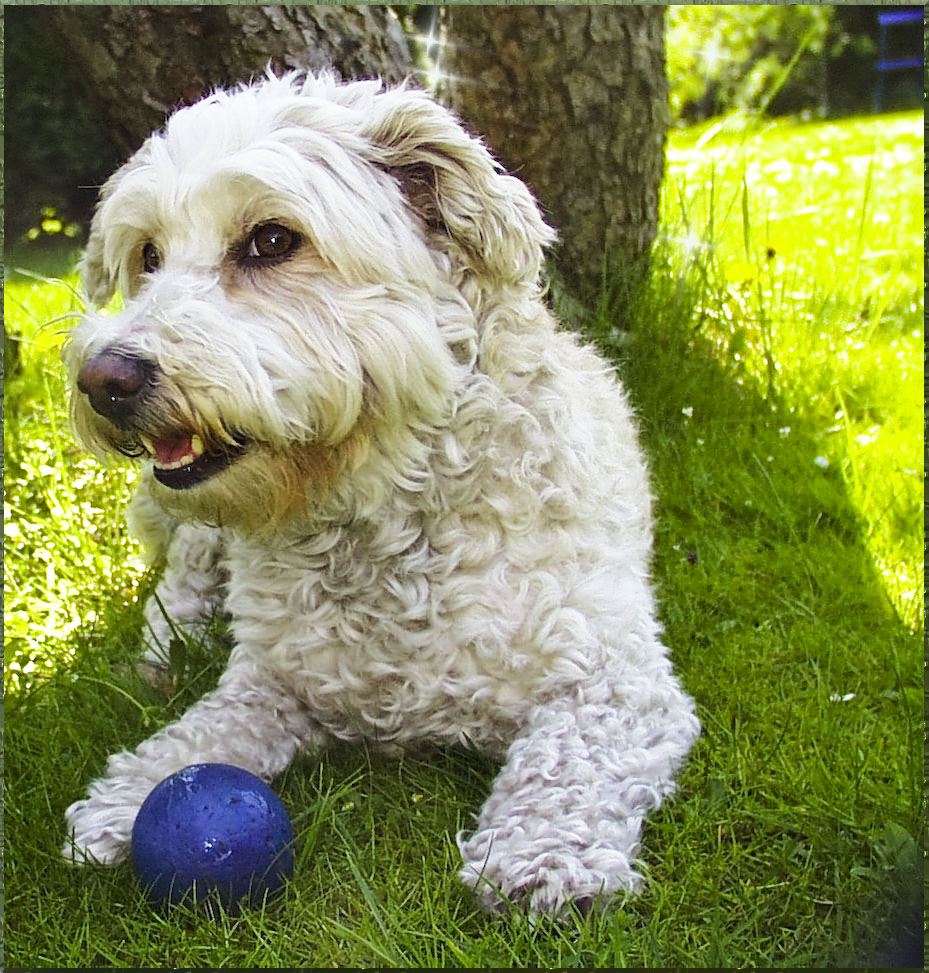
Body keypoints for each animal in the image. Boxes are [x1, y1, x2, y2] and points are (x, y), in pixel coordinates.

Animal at [61, 72, 696, 916]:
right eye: (149, 255)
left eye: (271, 241)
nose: (106, 378)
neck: (380, 517)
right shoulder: (270, 679)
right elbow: (199, 734)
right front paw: (127, 795)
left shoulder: (617, 677)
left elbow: (569, 758)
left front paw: (541, 851)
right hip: (199, 537)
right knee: (181, 580)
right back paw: (169, 647)